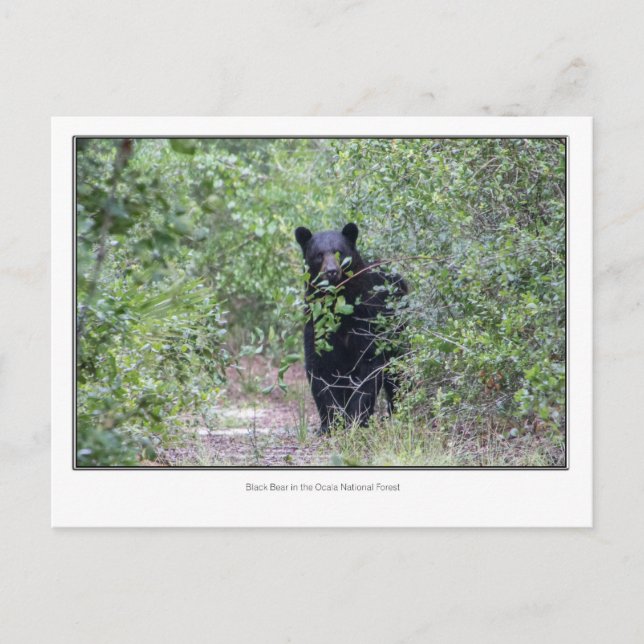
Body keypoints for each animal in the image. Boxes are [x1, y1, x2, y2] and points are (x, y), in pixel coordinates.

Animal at [294, 222, 407, 434]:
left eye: (339, 252)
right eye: (319, 254)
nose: (331, 271)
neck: (339, 306)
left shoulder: (366, 316)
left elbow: (369, 364)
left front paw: (355, 420)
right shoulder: (317, 322)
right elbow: (319, 367)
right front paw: (330, 424)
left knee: (399, 371)